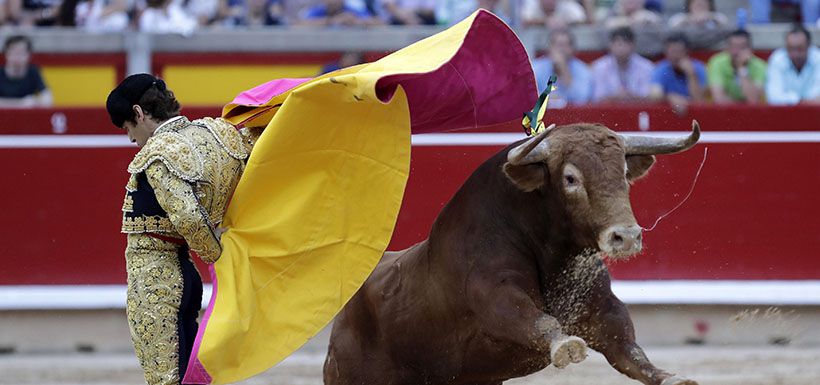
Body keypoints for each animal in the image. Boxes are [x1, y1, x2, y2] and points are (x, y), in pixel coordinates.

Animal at [324, 121, 700, 384]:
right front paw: (566, 345)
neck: (554, 257)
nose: (626, 236)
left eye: (623, 171)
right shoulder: (496, 297)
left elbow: (628, 348)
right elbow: (534, 319)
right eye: (570, 178)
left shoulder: (602, 308)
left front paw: (673, 378)